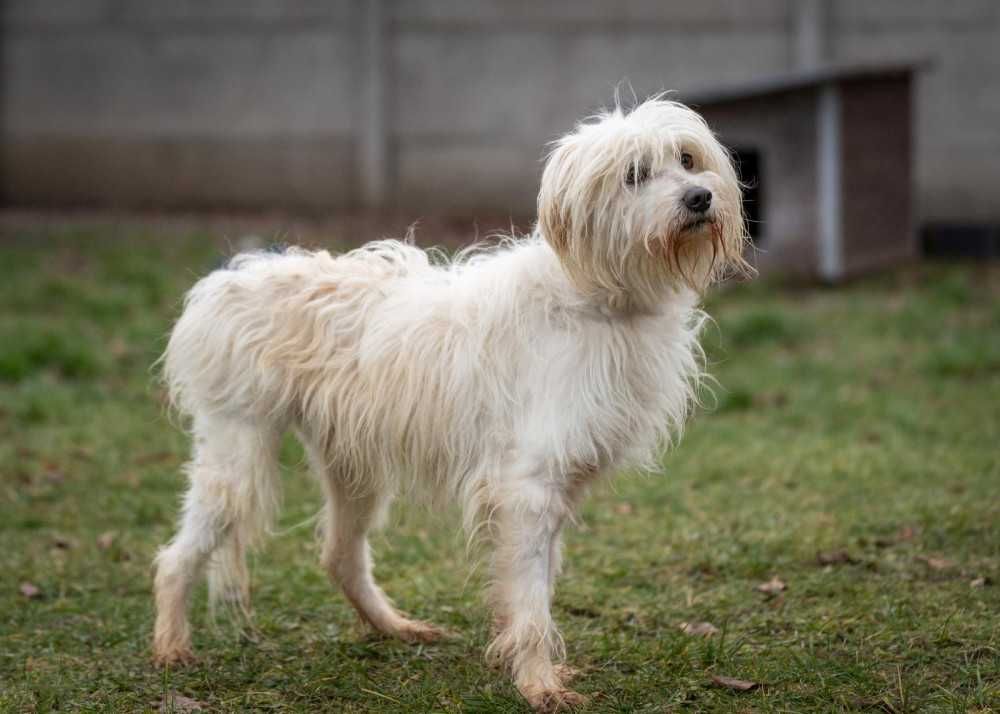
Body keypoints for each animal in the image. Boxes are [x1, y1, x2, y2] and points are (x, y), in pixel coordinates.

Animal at [152, 98, 752, 708]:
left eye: (687, 159)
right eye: (634, 174)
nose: (699, 198)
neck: (596, 297)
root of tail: (233, 275)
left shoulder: (554, 491)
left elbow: (533, 586)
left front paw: (525, 663)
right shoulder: (528, 489)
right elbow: (531, 597)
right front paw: (538, 684)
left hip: (354, 470)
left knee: (340, 556)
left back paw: (393, 627)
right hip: (238, 459)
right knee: (175, 558)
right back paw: (171, 646)